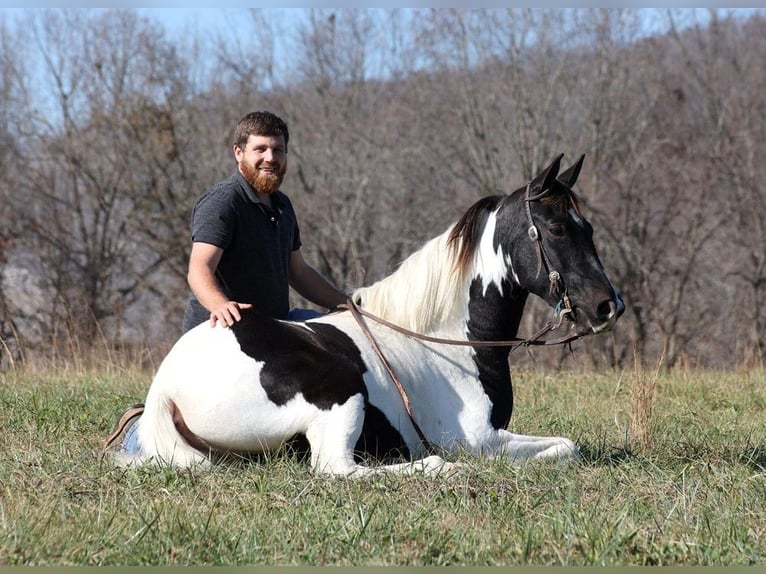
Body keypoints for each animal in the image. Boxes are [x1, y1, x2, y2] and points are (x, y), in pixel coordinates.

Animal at [118, 155, 624, 480]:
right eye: (555, 228)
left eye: (588, 227)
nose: (609, 306)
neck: (445, 342)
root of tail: (166, 387)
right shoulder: (481, 439)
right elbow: (567, 448)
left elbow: (568, 446)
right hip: (342, 392)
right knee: (337, 470)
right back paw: (438, 468)